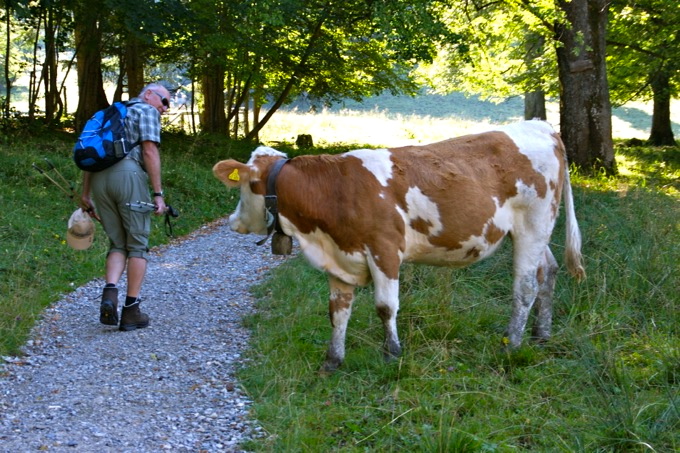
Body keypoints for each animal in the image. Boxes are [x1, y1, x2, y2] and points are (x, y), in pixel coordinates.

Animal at [215, 119, 588, 370]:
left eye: (244, 186)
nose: (233, 222)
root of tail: (541, 126)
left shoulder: (385, 249)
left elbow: (385, 307)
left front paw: (392, 353)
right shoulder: (340, 255)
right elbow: (337, 311)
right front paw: (332, 361)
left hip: (533, 225)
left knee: (524, 286)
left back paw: (512, 344)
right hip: (534, 231)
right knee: (548, 271)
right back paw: (541, 334)